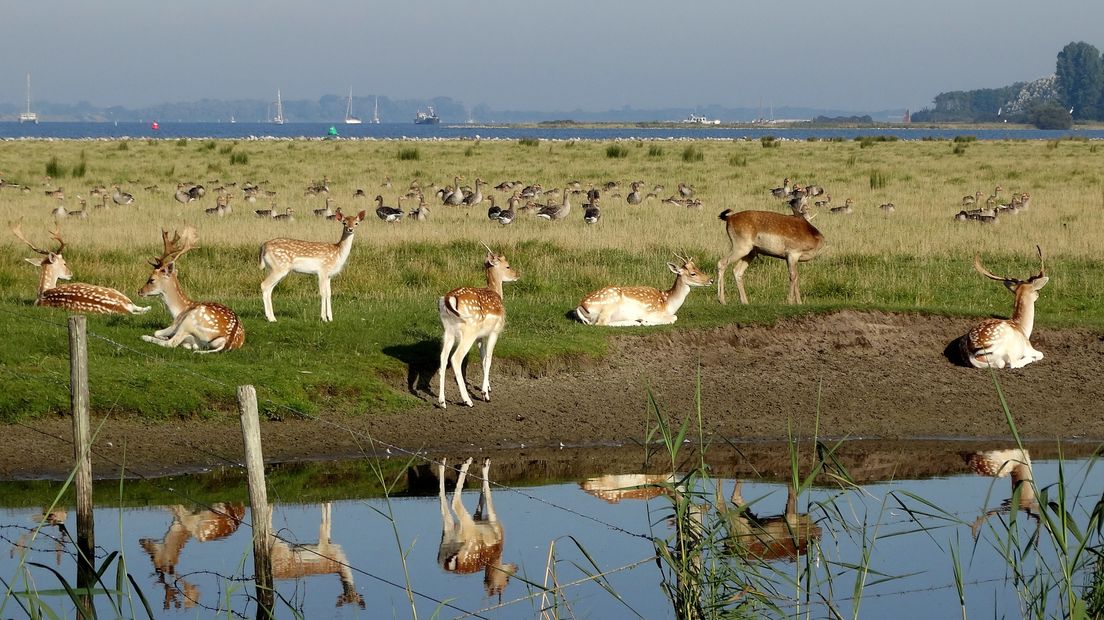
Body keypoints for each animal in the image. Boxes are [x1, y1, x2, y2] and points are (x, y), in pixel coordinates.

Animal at [10, 218, 151, 313]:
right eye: (65, 262)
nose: (71, 274)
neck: (43, 293)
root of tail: (124, 308)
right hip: (116, 292)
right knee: (141, 308)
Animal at [434, 243, 516, 408]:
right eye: (508, 266)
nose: (517, 274)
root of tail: (447, 299)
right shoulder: (494, 332)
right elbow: (489, 359)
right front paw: (485, 394)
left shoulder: (480, 336)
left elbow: (483, 358)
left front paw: (488, 388)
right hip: (469, 330)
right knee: (455, 359)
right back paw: (467, 400)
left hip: (448, 331)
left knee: (443, 359)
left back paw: (442, 402)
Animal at [437, 456, 514, 595]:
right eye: (507, 580)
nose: (515, 569)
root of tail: (448, 564)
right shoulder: (494, 524)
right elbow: (489, 501)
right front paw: (486, 465)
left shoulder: (478, 518)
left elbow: (480, 505)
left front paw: (485, 463)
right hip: (468, 532)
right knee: (454, 501)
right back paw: (466, 463)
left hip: (447, 536)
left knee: (442, 500)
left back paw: (443, 462)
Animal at [574, 253, 710, 326]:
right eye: (693, 273)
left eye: (697, 267)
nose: (711, 280)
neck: (668, 303)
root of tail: (581, 306)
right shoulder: (654, 312)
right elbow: (674, 318)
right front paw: (646, 321)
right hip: (609, 304)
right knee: (601, 323)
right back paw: (636, 321)